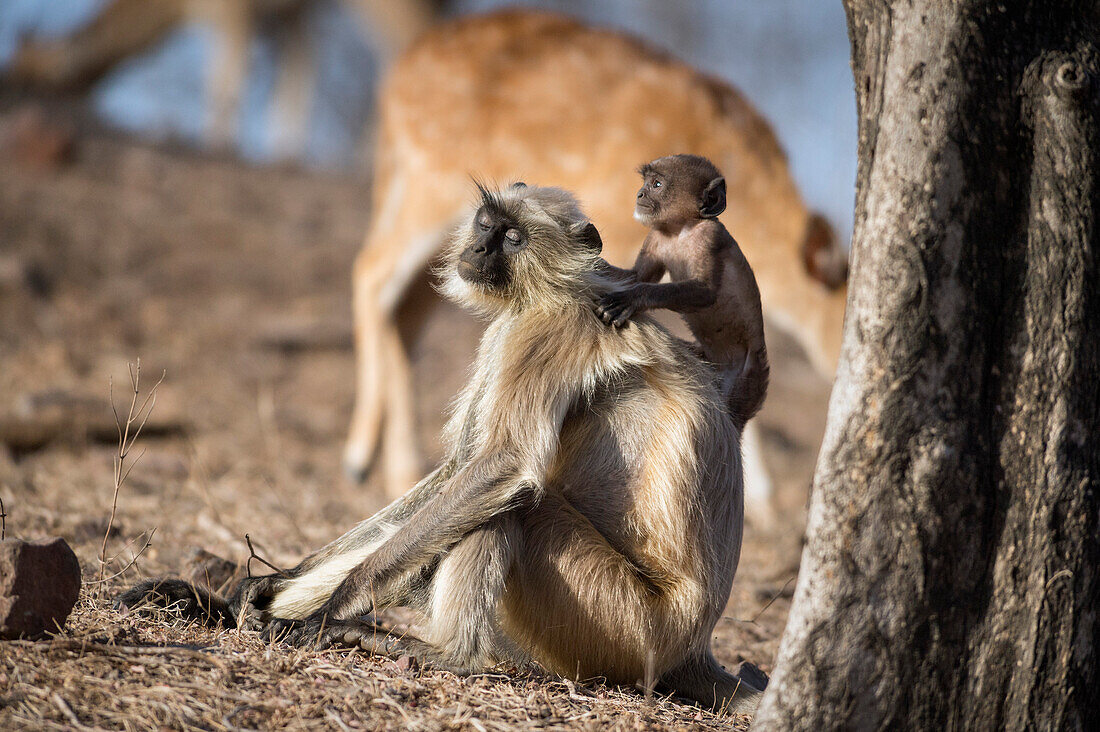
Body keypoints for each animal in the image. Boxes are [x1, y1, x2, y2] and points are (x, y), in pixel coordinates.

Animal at [116, 183, 761, 713]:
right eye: (485, 223)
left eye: (513, 236)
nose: (478, 248)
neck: (556, 288)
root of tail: (694, 644)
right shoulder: (511, 330)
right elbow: (455, 470)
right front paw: (263, 591)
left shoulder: (545, 330)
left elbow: (500, 468)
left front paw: (334, 607)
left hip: (626, 628)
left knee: (518, 506)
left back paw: (452, 655)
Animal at [598, 155, 770, 429]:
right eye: (645, 182)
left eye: (656, 184)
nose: (639, 194)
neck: (681, 230)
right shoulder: (657, 234)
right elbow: (636, 276)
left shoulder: (710, 235)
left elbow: (705, 292)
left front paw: (632, 299)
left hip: (747, 378)